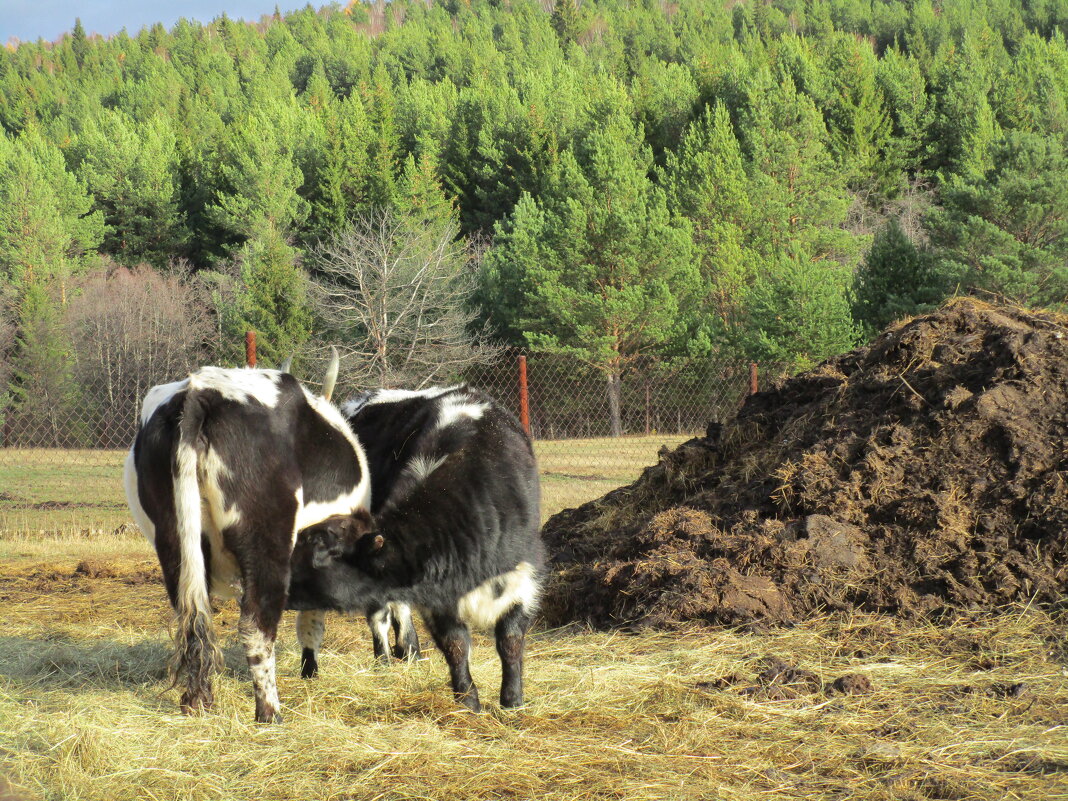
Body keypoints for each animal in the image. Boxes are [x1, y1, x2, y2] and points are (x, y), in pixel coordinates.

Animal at [122, 367, 367, 726]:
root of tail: (200, 392)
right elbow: (312, 620)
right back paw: (270, 712)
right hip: (265, 545)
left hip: (172, 541)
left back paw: (197, 703)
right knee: (256, 626)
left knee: (193, 621)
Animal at [288, 386, 542, 713]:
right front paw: (468, 701)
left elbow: (510, 638)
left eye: (323, 557)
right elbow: (455, 643)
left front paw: (512, 700)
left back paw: (408, 651)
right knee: (381, 616)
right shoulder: (437, 594)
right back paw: (382, 658)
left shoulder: (523, 575)